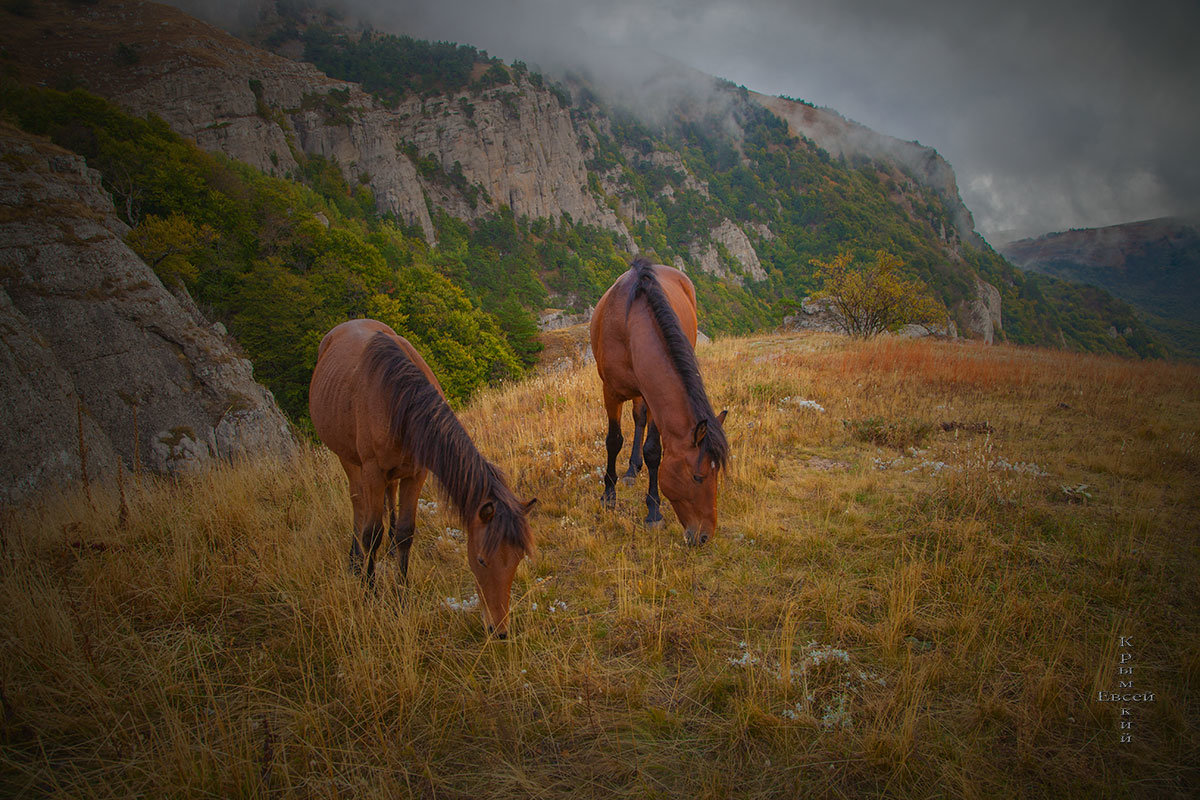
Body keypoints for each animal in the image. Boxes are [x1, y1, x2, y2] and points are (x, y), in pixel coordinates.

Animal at [309, 319, 535, 638]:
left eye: (517, 559)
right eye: (481, 560)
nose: (499, 631)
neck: (396, 401)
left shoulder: (417, 473)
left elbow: (405, 533)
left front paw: (401, 595)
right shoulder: (371, 471)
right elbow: (372, 533)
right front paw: (370, 593)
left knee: (388, 500)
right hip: (348, 459)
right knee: (358, 504)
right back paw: (355, 561)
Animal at [590, 260, 729, 546]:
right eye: (698, 477)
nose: (704, 536)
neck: (628, 326)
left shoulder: (653, 396)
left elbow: (654, 451)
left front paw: (653, 511)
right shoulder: (610, 392)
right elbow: (613, 441)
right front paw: (608, 495)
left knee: (640, 418)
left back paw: (634, 468)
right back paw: (630, 472)